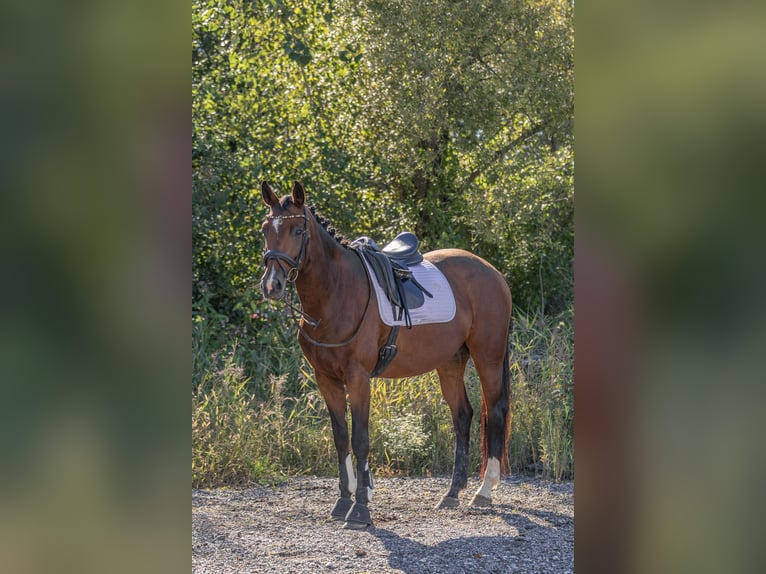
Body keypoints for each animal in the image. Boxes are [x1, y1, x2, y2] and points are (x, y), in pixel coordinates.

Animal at [259, 181, 512, 529]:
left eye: (298, 230)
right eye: (265, 229)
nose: (272, 285)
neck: (337, 292)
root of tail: (492, 272)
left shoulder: (358, 378)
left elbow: (360, 439)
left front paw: (360, 510)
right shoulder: (326, 379)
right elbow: (341, 438)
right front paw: (343, 502)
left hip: (488, 356)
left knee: (496, 412)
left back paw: (483, 492)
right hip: (451, 362)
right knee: (463, 415)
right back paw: (451, 493)